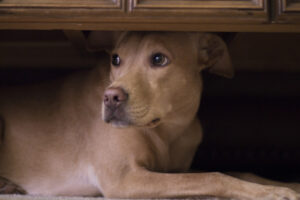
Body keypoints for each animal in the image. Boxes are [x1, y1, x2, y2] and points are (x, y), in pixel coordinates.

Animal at [0, 32, 300, 199]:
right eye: (116, 59)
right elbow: (214, 176)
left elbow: (238, 170)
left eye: (158, 59)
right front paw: (271, 193)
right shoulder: (125, 179)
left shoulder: (176, 170)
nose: (110, 98)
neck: (169, 128)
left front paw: (286, 184)